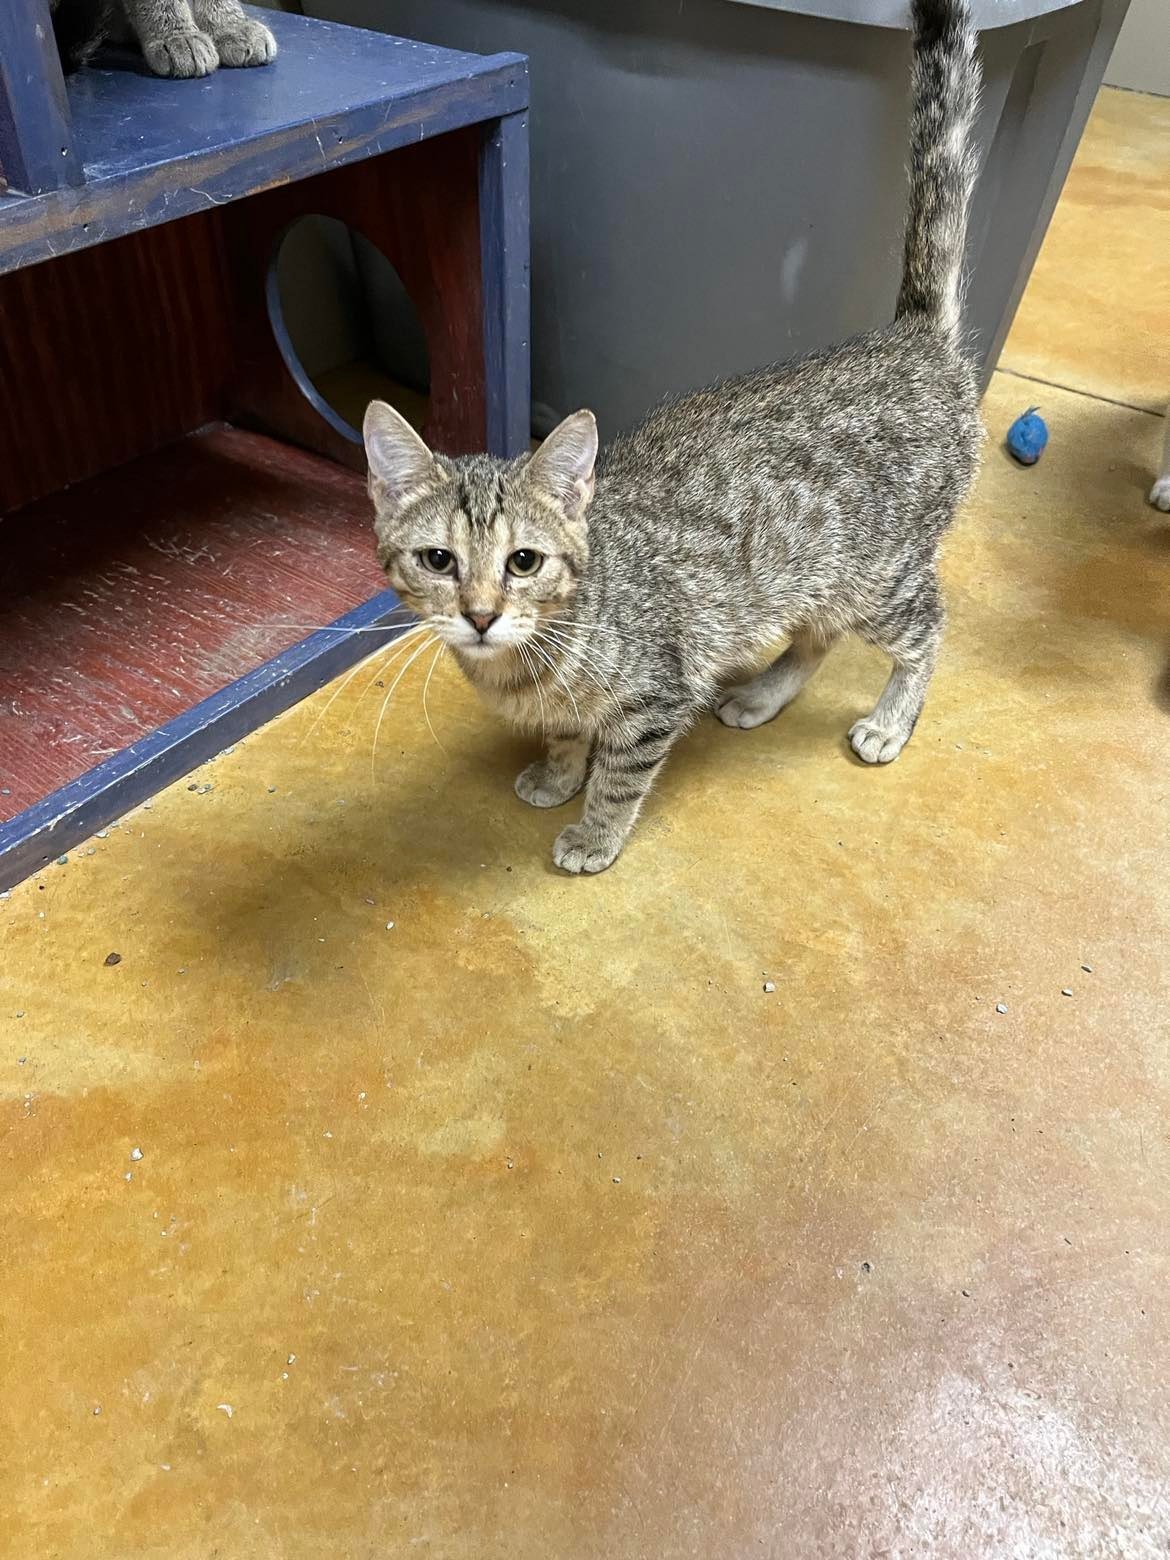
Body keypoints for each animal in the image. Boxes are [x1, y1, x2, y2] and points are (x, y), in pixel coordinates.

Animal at [366, 0, 992, 879]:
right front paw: (555, 772)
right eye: (437, 560)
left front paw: (593, 833)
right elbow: (569, 734)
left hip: (881, 578)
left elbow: (620, 775)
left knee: (928, 629)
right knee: (816, 635)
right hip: (816, 578)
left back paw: (891, 718)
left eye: (523, 562)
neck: (534, 658)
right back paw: (764, 690)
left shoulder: (654, 700)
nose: (482, 615)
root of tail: (911, 341)